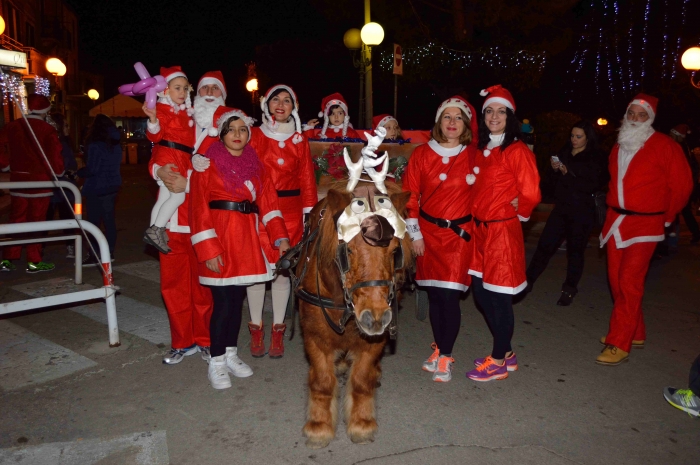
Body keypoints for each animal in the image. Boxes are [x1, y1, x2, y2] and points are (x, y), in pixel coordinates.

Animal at [298, 178, 412, 446]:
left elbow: (361, 380)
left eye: (395, 251)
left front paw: (361, 422)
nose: (376, 317)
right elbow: (322, 381)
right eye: (348, 250)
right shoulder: (314, 337)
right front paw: (319, 426)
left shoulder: (374, 341)